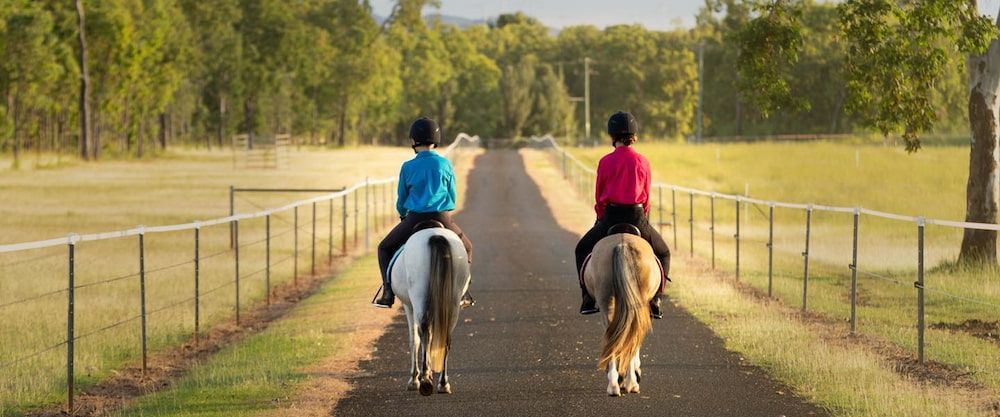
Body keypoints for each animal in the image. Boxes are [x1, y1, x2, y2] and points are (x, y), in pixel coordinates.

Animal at [390, 222, 471, 396]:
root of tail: (435, 236)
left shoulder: (409, 306)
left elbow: (414, 340)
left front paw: (415, 379)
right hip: (453, 301)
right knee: (446, 337)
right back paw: (443, 383)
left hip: (419, 296)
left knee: (424, 331)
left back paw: (425, 381)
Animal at [582, 225, 660, 396]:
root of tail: (622, 244)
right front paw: (632, 374)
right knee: (629, 335)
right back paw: (627, 382)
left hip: (608, 302)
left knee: (616, 335)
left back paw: (616, 383)